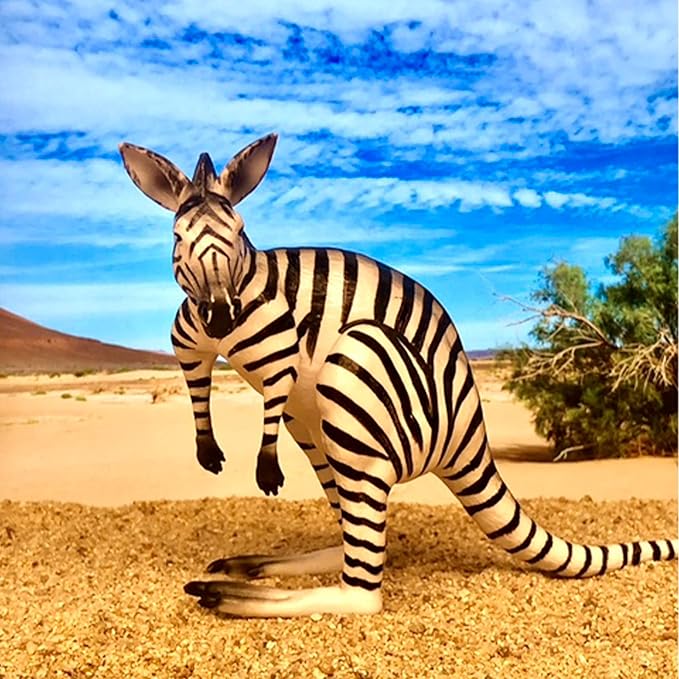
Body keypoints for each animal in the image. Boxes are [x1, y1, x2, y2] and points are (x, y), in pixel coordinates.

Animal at [119, 133, 678, 617]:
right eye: (177, 238)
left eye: (235, 234)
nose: (219, 314)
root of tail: (469, 434)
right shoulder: (190, 346)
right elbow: (197, 392)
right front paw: (208, 451)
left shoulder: (281, 351)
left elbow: (269, 403)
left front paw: (265, 471)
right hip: (320, 432)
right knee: (352, 543)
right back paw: (255, 567)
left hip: (356, 374)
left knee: (363, 592)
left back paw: (230, 595)